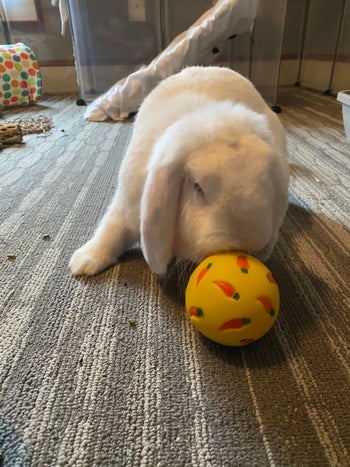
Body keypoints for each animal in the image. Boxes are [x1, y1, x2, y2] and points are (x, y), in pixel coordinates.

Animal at [69, 66, 288, 278]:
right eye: (197, 187)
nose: (243, 243)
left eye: (266, 184)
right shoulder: (127, 204)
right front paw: (84, 262)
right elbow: (112, 229)